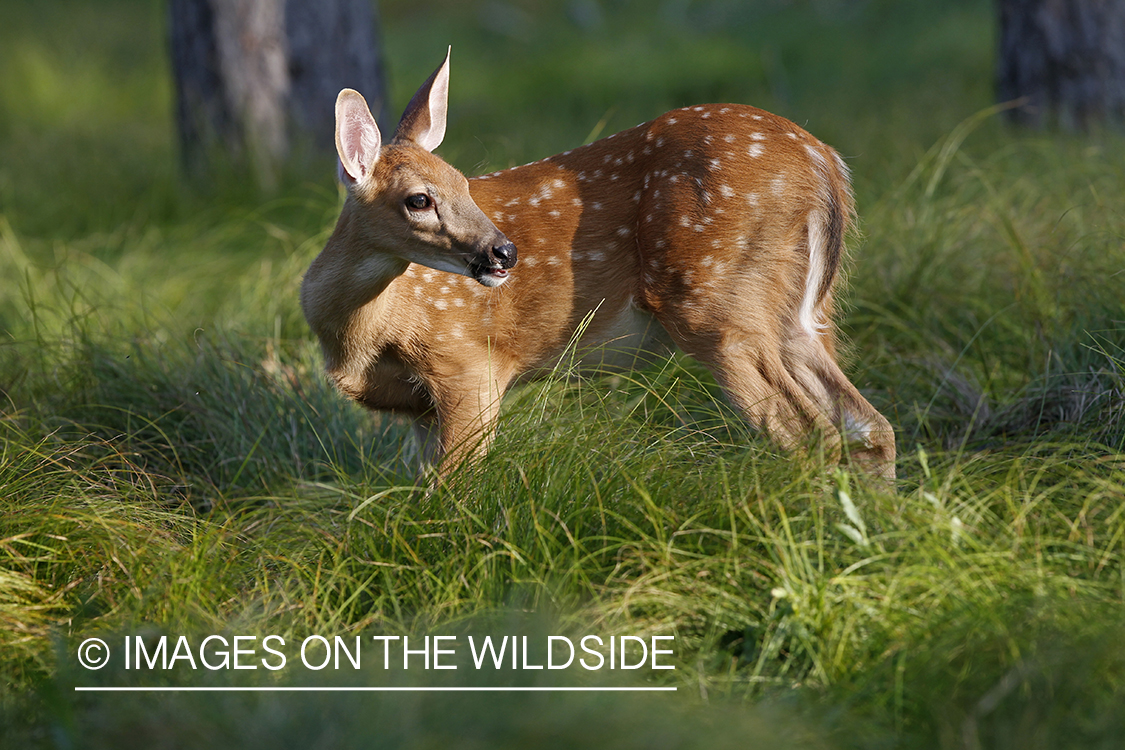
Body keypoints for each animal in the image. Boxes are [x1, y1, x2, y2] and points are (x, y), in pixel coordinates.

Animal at [300, 50, 897, 482]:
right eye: (419, 198)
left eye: (465, 184)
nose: (503, 251)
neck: (360, 336)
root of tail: (826, 164)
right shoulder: (419, 412)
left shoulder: (467, 363)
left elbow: (453, 490)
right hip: (799, 315)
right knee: (870, 426)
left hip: (718, 300)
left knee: (808, 434)